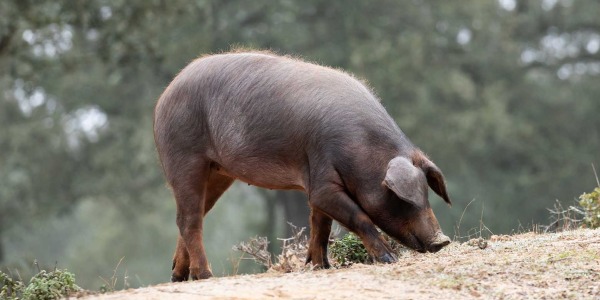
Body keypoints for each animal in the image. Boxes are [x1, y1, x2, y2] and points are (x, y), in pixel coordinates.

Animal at [152, 49, 452, 282]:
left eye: (427, 193)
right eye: (401, 197)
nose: (442, 240)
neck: (362, 150)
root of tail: (165, 94)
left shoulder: (319, 182)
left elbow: (321, 225)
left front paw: (321, 266)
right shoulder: (323, 182)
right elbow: (357, 216)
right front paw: (389, 259)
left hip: (218, 172)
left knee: (195, 214)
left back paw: (179, 276)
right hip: (184, 156)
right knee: (189, 219)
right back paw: (205, 276)